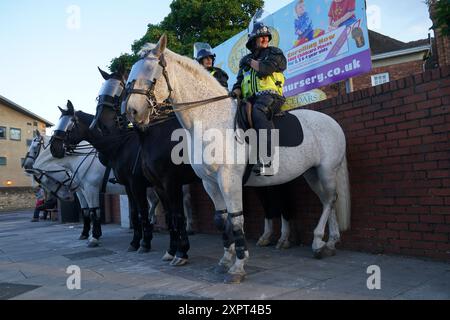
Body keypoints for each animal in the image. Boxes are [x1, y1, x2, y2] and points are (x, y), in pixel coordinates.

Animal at [124, 35, 352, 284]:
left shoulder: (228, 180)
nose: (131, 112)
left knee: (329, 199)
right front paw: (225, 260)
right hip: (312, 173)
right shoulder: (209, 183)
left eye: (150, 70)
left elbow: (235, 220)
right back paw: (329, 242)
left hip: (327, 170)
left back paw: (319, 241)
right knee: (328, 200)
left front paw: (238, 266)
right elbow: (221, 220)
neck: (211, 120)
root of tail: (332, 122)